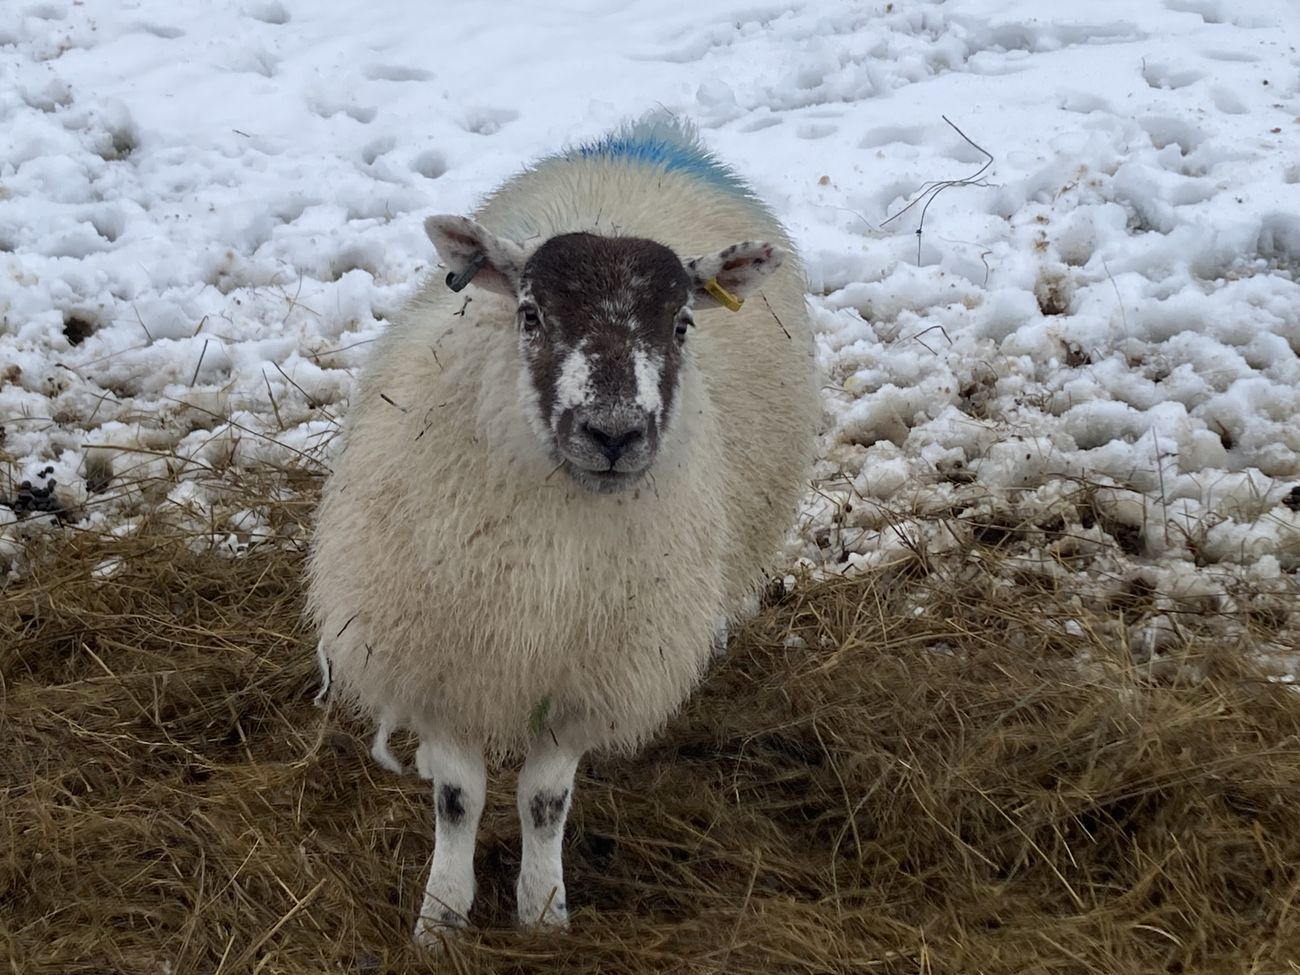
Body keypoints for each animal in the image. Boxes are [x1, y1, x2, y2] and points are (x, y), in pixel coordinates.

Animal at [307, 114, 821, 947]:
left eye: (683, 323)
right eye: (531, 314)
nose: (612, 432)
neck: (550, 545)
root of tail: (655, 136)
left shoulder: (587, 673)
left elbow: (545, 801)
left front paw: (543, 910)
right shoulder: (442, 660)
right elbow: (457, 797)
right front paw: (441, 916)